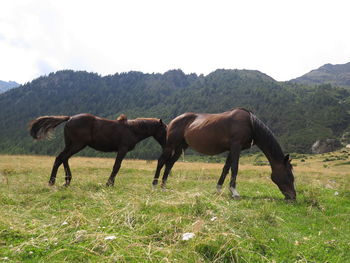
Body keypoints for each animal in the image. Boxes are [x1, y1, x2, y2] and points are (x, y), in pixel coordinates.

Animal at [29, 114, 167, 187]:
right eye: (165, 129)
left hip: (70, 144)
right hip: (78, 145)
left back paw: (64, 181)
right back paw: (55, 181)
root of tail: (69, 118)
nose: (167, 144)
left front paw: (110, 183)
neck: (132, 129)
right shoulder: (122, 149)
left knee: (62, 158)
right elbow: (116, 166)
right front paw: (109, 183)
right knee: (62, 158)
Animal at [152, 108, 296, 201]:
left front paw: (219, 189)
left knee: (170, 164)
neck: (250, 123)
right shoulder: (236, 146)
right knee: (161, 161)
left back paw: (163, 186)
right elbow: (235, 168)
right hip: (171, 145)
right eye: (289, 175)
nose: (293, 196)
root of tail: (174, 120)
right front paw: (234, 192)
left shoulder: (233, 149)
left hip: (181, 147)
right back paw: (154, 185)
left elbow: (226, 168)